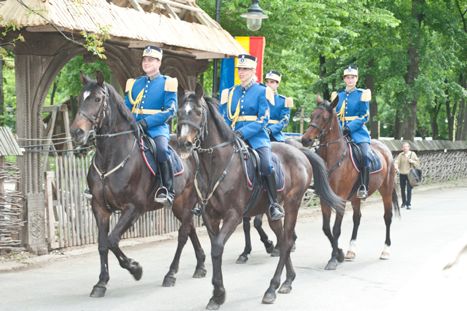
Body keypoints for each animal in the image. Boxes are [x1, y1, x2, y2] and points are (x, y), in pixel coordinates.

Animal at [70, 72, 207, 298]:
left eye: (97, 99)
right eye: (81, 98)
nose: (76, 132)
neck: (111, 157)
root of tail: (191, 149)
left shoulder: (134, 208)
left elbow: (112, 240)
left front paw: (135, 268)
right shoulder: (99, 208)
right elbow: (102, 244)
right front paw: (101, 283)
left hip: (186, 200)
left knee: (183, 234)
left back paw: (171, 274)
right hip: (179, 206)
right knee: (190, 229)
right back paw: (201, 265)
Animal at [176, 83, 344, 310]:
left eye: (198, 112)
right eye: (179, 112)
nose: (183, 143)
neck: (217, 165)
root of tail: (300, 152)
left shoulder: (233, 215)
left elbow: (217, 248)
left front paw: (219, 293)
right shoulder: (210, 216)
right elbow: (215, 249)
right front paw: (216, 294)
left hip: (292, 205)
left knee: (288, 240)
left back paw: (272, 288)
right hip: (273, 213)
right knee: (282, 239)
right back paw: (288, 280)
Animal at [302, 97, 400, 270]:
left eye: (324, 118)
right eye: (312, 115)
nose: (305, 139)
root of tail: (386, 149)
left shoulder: (340, 198)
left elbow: (336, 229)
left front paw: (333, 259)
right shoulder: (325, 198)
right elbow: (326, 228)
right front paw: (339, 253)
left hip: (386, 191)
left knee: (387, 217)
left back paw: (385, 250)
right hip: (355, 197)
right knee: (357, 218)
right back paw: (350, 250)